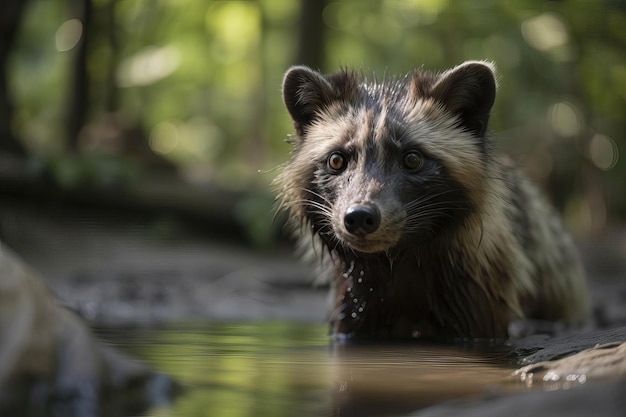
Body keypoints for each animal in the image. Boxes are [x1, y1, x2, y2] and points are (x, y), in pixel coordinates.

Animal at [274, 61, 588, 338]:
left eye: (412, 159)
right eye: (337, 160)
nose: (360, 216)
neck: (396, 259)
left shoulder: (481, 290)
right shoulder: (353, 301)